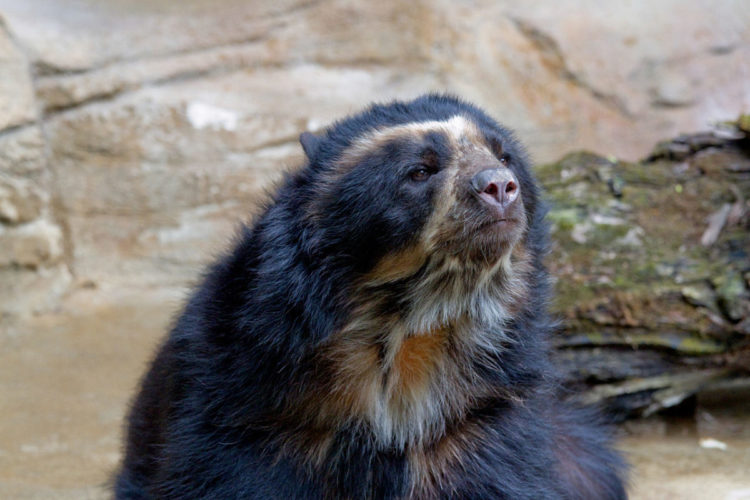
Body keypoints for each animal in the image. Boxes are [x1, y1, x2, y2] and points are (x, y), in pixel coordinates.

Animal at [113, 94, 628, 500]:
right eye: (419, 171)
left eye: (506, 157)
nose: (499, 186)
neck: (408, 327)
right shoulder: (248, 401)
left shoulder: (480, 411)